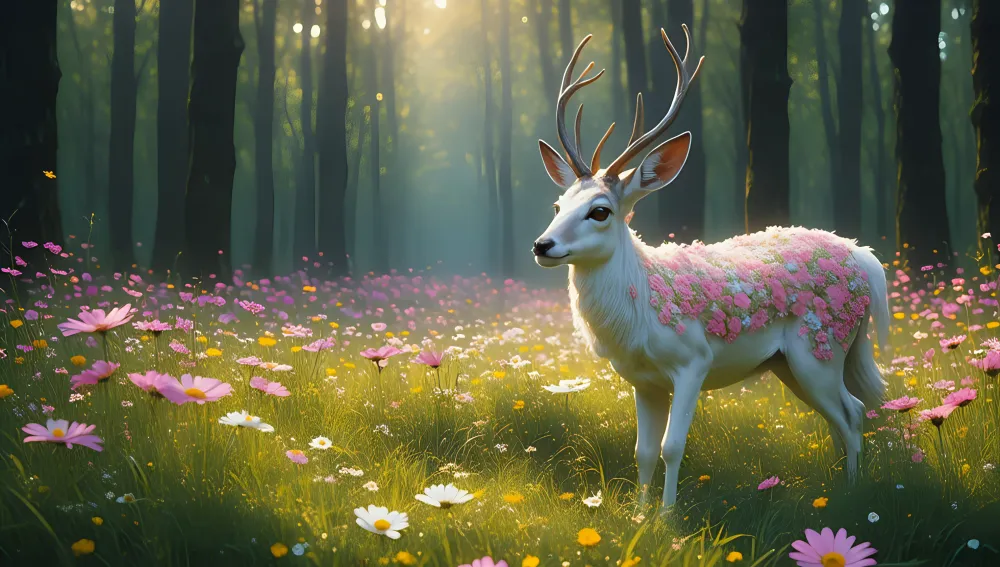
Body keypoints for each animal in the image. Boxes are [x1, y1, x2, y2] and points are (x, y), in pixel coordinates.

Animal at [532, 26, 889, 510]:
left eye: (600, 211)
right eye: (557, 205)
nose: (542, 245)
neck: (643, 303)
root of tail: (863, 257)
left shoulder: (693, 360)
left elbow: (672, 447)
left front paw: (667, 517)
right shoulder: (643, 381)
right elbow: (643, 451)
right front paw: (639, 516)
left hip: (822, 346)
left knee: (853, 412)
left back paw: (853, 493)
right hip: (791, 363)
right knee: (845, 414)